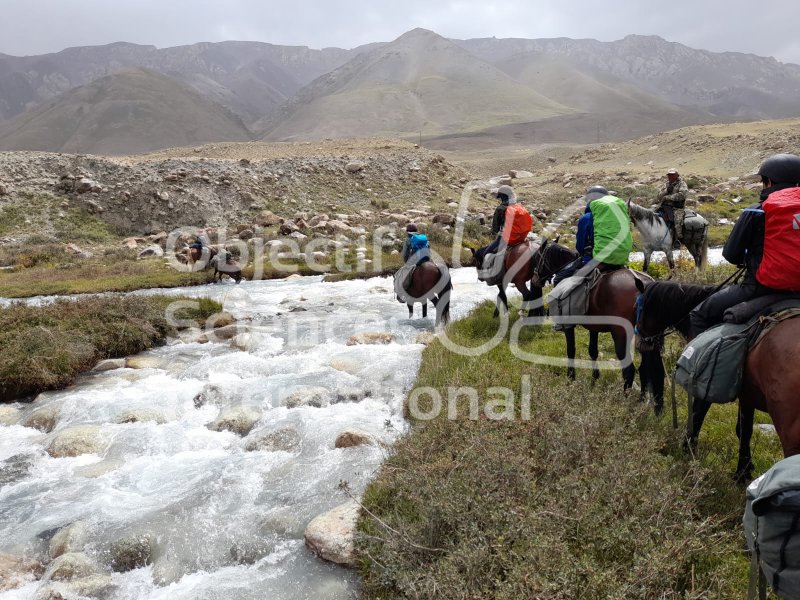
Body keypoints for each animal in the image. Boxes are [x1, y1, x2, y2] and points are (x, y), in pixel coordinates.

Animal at [528, 239, 652, 398]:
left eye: (537, 258)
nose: (534, 280)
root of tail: (643, 285)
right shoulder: (594, 326)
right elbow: (593, 350)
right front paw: (595, 377)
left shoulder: (568, 325)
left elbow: (571, 350)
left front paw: (571, 378)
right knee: (646, 368)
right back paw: (642, 398)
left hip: (621, 334)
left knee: (629, 370)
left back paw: (625, 398)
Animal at [636, 278, 800, 482]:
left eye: (638, 307)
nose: (640, 343)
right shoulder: (747, 395)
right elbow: (744, 430)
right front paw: (743, 471)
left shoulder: (704, 383)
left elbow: (698, 414)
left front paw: (687, 449)